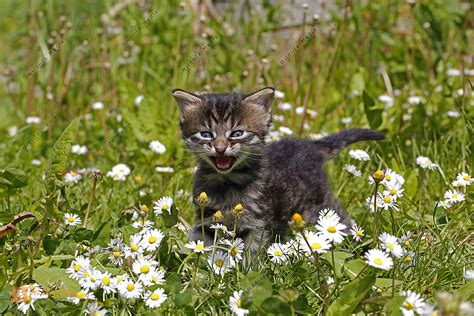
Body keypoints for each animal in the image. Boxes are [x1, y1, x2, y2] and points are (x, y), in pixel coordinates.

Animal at [172, 86, 384, 252]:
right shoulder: (207, 219)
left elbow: (251, 254)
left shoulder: (257, 223)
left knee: (341, 219)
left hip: (320, 205)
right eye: (206, 134)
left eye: (237, 133)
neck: (227, 182)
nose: (220, 148)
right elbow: (205, 248)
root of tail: (309, 145)